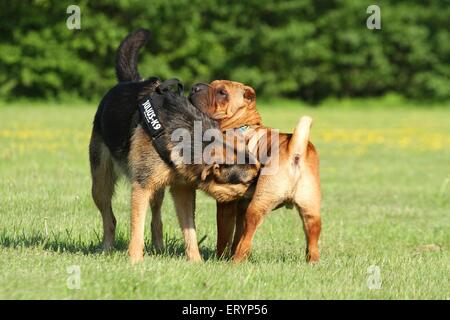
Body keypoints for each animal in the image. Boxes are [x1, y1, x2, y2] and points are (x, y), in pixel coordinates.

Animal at [88, 29, 258, 262]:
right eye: (249, 180)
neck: (188, 135)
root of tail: (130, 82)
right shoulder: (141, 188)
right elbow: (136, 230)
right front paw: (135, 261)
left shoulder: (183, 191)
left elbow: (190, 230)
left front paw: (196, 261)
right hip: (101, 184)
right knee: (109, 217)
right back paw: (107, 247)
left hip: (156, 190)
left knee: (156, 218)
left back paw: (158, 247)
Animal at [188, 80, 322, 262]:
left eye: (222, 92)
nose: (195, 86)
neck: (240, 125)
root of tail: (295, 150)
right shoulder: (241, 205)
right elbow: (237, 234)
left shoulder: (226, 204)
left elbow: (224, 235)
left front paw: (220, 258)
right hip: (310, 209)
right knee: (313, 238)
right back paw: (312, 262)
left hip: (258, 204)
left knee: (248, 236)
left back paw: (237, 261)